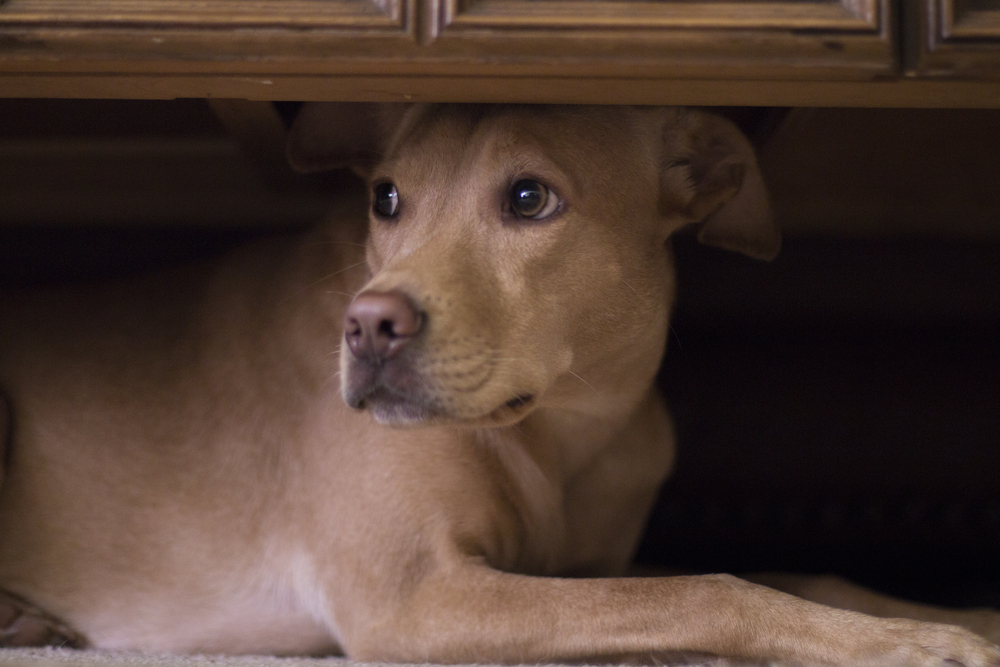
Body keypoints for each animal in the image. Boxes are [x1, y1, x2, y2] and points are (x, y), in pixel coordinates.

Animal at [1, 102, 1000, 664]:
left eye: (529, 198)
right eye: (386, 198)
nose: (365, 328)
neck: (565, 422)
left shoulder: (586, 566)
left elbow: (795, 569)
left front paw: (951, 615)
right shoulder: (417, 597)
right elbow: (712, 588)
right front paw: (904, 645)